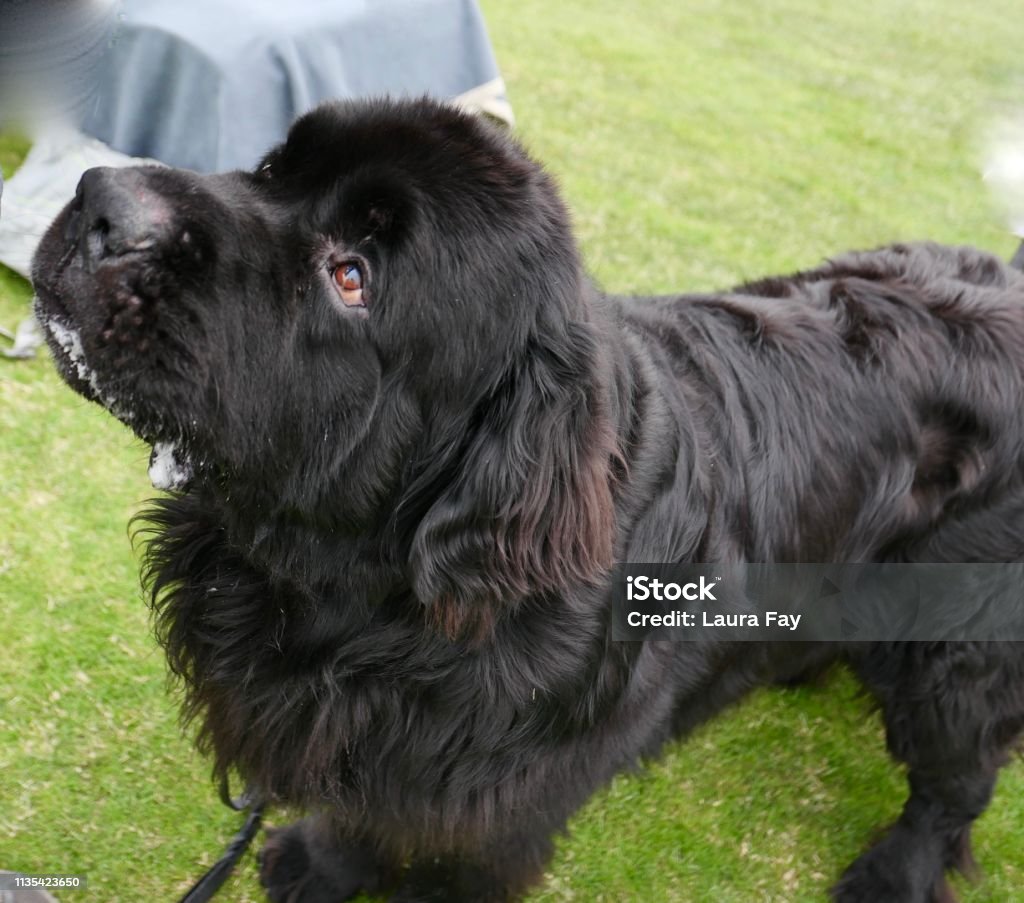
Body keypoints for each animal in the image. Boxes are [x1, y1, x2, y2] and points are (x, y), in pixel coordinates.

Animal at [28, 98, 1024, 900]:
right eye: (272, 170)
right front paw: (321, 863)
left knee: (956, 781)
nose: (104, 199)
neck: (355, 596)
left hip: (960, 654)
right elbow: (365, 810)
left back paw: (893, 872)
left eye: (353, 275)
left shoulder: (498, 809)